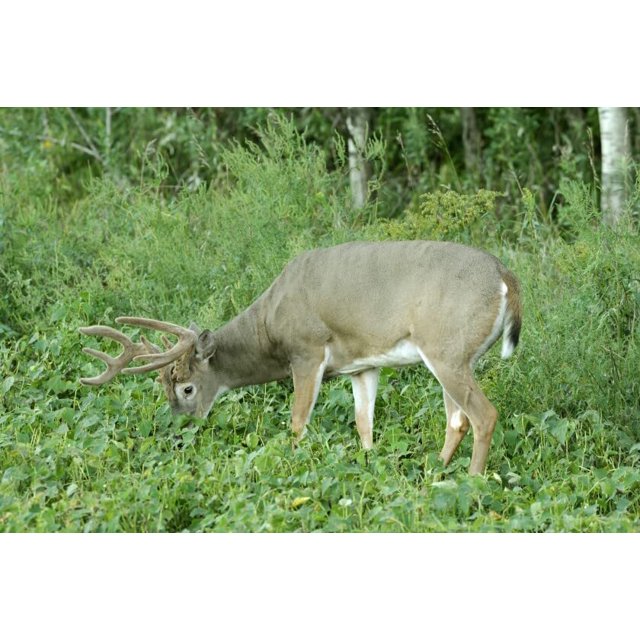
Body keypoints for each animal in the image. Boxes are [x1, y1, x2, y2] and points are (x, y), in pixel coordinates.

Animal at [79, 240, 522, 475]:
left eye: (186, 387)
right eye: (163, 388)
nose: (178, 431)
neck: (269, 327)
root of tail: (507, 279)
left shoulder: (307, 351)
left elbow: (297, 422)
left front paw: (290, 465)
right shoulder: (362, 365)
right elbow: (363, 423)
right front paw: (367, 464)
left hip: (447, 350)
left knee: (483, 415)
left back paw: (472, 479)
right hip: (452, 356)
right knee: (457, 419)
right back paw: (436, 468)